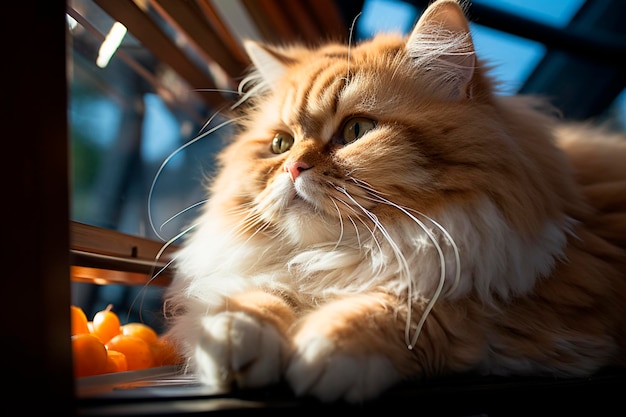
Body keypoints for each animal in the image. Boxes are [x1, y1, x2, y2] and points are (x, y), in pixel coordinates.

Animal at [162, 0, 624, 404]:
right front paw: (234, 332)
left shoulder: (521, 296)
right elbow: (261, 294)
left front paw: (328, 344)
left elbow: (415, 308)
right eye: (281, 144)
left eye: (356, 131)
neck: (353, 252)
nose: (293, 167)